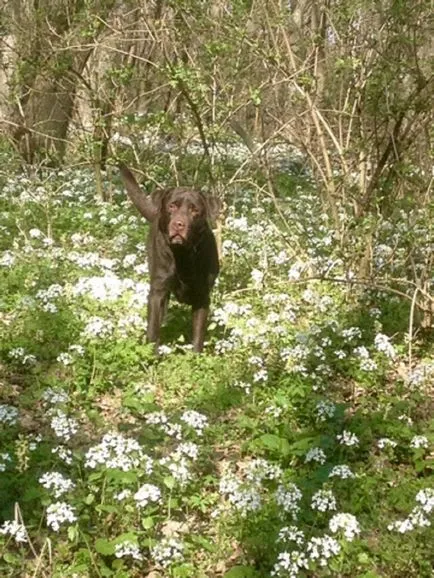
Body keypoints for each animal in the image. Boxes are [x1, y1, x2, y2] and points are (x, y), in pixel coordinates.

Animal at [119, 163, 219, 352]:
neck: (183, 255)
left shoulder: (202, 296)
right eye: (172, 206)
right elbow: (153, 330)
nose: (179, 224)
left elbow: (198, 336)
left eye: (195, 210)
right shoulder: (158, 292)